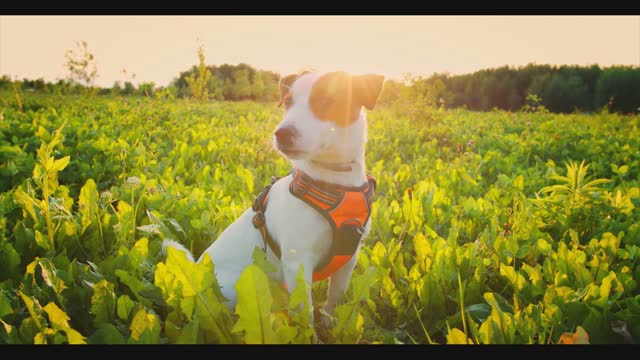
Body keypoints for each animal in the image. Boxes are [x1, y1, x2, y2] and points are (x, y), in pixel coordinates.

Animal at [165, 69, 384, 334]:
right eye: (288, 102)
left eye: (326, 101)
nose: (282, 133)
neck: (333, 183)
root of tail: (197, 269)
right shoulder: (297, 262)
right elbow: (306, 312)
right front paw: (309, 334)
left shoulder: (348, 257)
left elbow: (335, 297)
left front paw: (330, 324)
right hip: (230, 289)